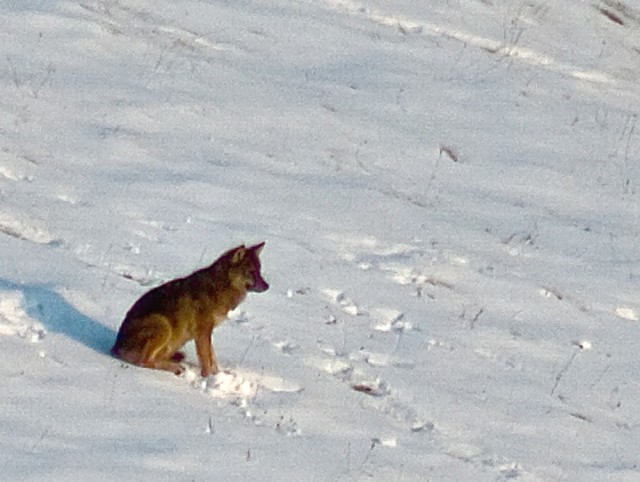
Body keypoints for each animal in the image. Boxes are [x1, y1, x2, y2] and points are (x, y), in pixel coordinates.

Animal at [111, 245, 268, 376]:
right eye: (252, 272)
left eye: (260, 271)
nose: (267, 286)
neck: (219, 288)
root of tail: (115, 348)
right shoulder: (202, 331)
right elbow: (206, 358)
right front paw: (209, 377)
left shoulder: (206, 331)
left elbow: (212, 356)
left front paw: (217, 376)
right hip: (163, 325)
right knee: (144, 361)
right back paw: (175, 368)